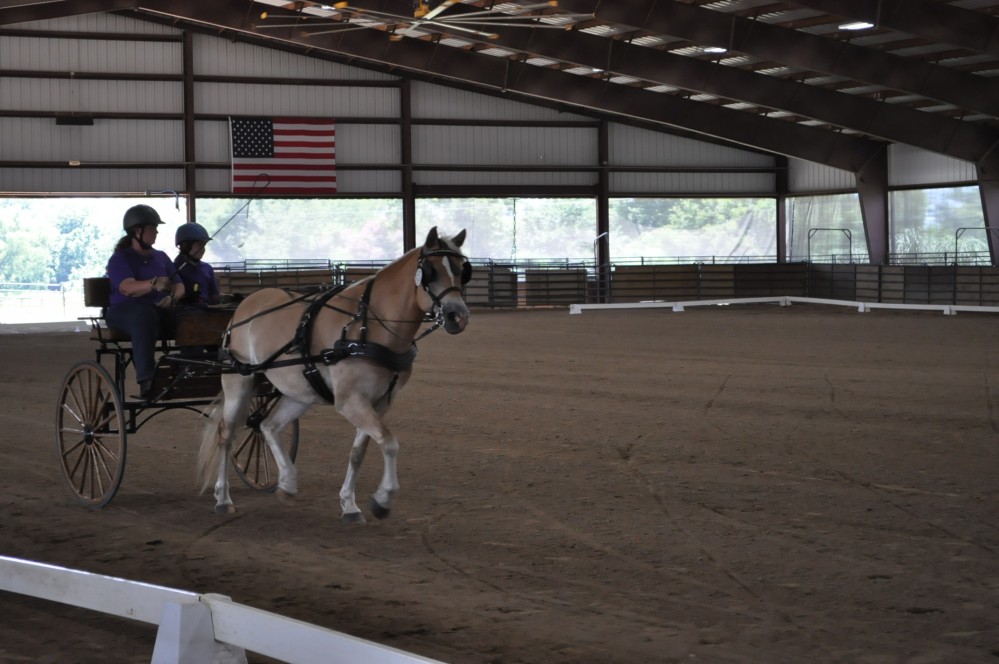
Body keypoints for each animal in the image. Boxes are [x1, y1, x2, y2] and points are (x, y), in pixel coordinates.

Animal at [198, 228, 472, 524]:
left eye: (461, 270)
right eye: (431, 270)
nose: (458, 316)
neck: (367, 326)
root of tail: (248, 302)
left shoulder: (380, 403)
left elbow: (359, 452)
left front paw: (350, 505)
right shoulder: (350, 400)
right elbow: (389, 443)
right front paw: (383, 499)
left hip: (300, 392)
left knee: (268, 426)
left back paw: (287, 484)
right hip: (239, 379)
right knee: (227, 436)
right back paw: (223, 499)